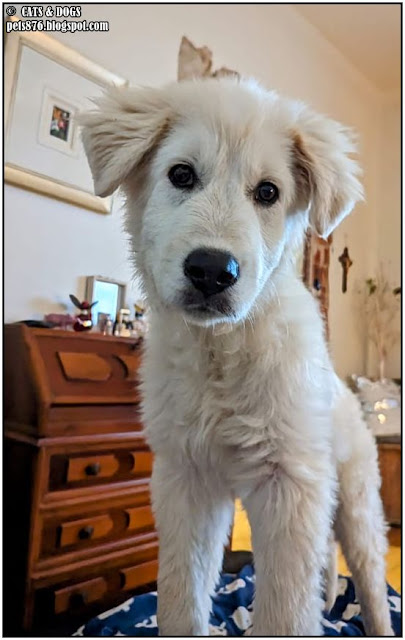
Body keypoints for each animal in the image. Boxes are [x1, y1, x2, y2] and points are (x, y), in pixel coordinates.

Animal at [80, 76, 392, 636]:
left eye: (268, 192)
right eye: (181, 174)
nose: (211, 270)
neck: (221, 351)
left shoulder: (289, 487)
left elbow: (284, 611)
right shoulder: (187, 483)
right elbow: (181, 597)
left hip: (355, 501)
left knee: (370, 580)